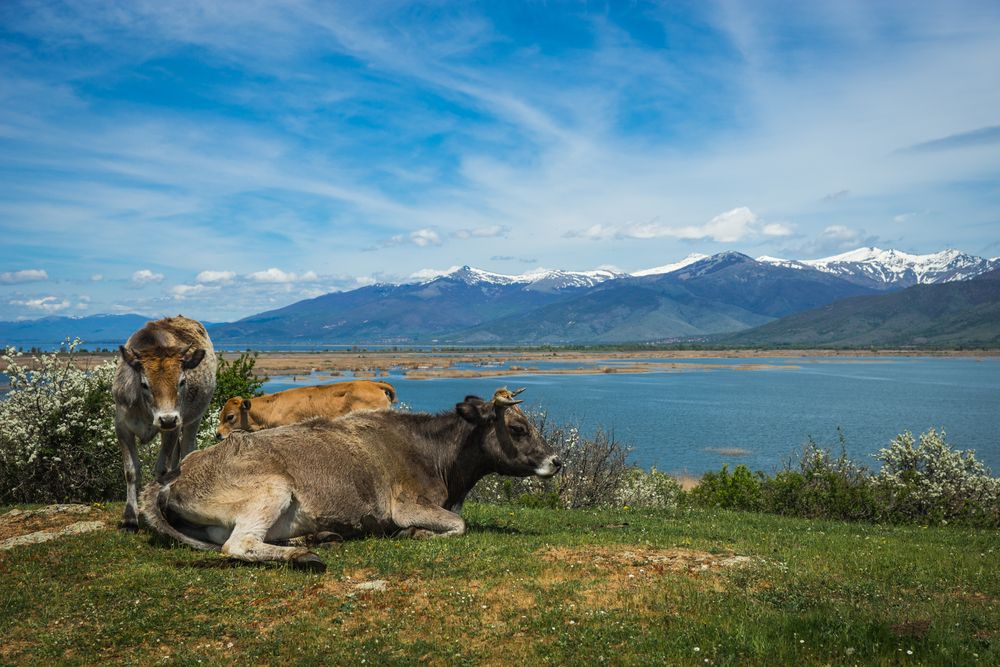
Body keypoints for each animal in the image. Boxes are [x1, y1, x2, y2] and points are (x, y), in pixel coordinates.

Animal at [142, 388, 564, 572]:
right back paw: (305, 554)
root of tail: (174, 475)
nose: (557, 461)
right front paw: (413, 534)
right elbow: (460, 525)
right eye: (518, 428)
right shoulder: (407, 504)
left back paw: (316, 538)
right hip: (272, 489)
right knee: (238, 545)